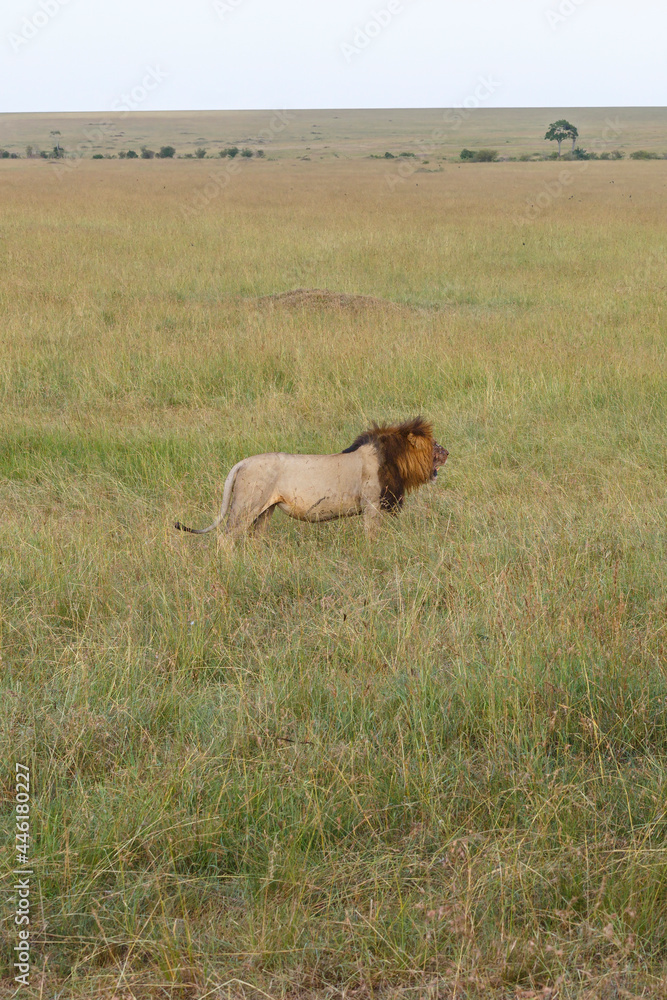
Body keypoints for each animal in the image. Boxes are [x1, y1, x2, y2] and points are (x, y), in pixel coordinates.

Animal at [175, 416, 452, 540]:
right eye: (434, 445)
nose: (448, 453)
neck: (393, 459)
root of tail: (241, 463)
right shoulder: (371, 505)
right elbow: (371, 535)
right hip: (245, 505)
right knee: (226, 537)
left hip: (265, 510)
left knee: (256, 537)